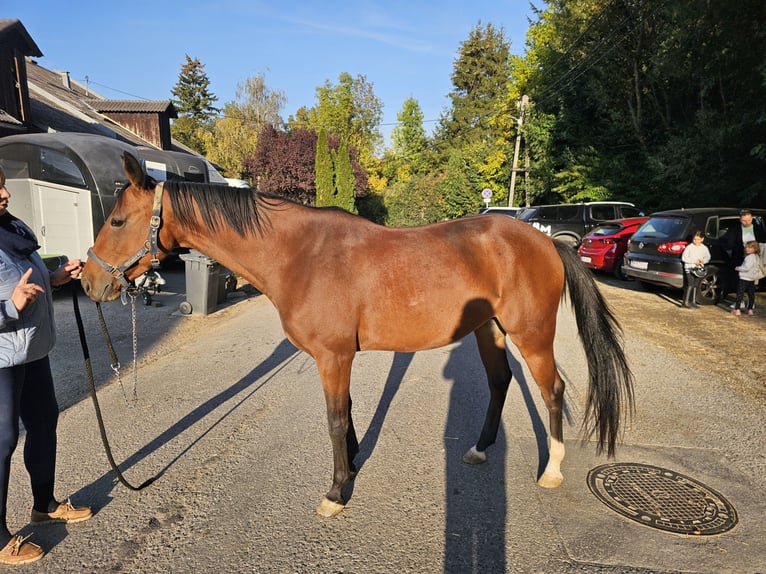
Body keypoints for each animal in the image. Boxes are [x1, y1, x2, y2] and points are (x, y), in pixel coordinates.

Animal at [81, 152, 634, 517]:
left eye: (118, 220)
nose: (88, 282)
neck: (300, 255)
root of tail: (546, 242)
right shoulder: (338, 357)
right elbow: (345, 419)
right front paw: (350, 470)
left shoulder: (333, 356)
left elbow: (333, 420)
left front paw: (335, 494)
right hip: (488, 331)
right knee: (501, 382)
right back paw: (479, 450)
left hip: (532, 334)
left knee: (552, 390)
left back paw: (552, 470)